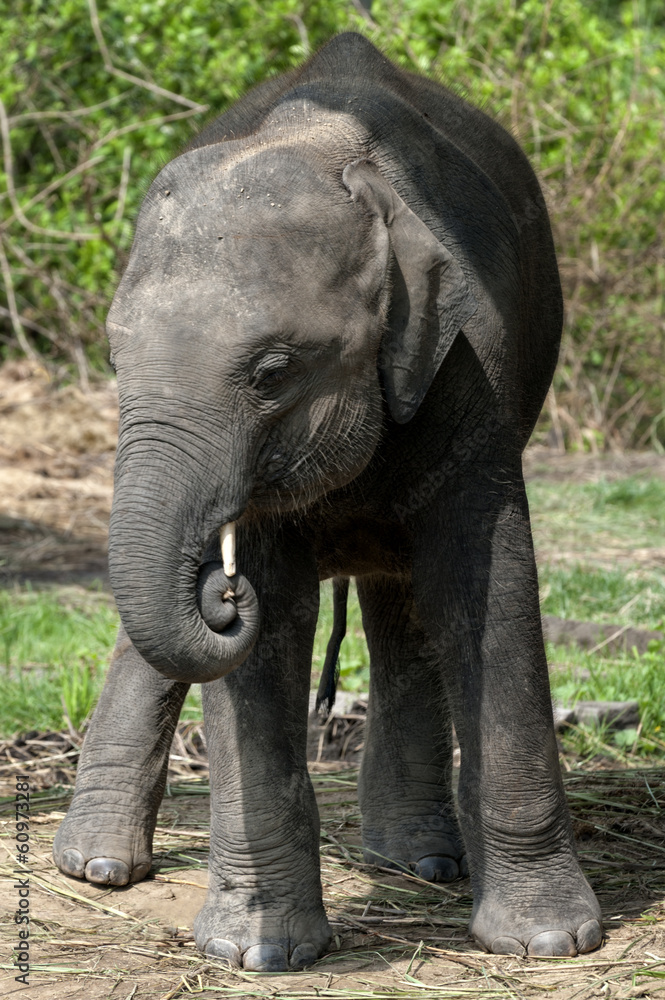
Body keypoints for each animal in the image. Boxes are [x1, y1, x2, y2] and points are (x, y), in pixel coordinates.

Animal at [53, 32, 603, 969]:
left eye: (273, 372)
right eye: (115, 360)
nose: (221, 589)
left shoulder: (470, 368)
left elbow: (487, 584)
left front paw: (550, 942)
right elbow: (267, 628)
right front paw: (257, 954)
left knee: (402, 602)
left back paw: (412, 859)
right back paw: (95, 868)